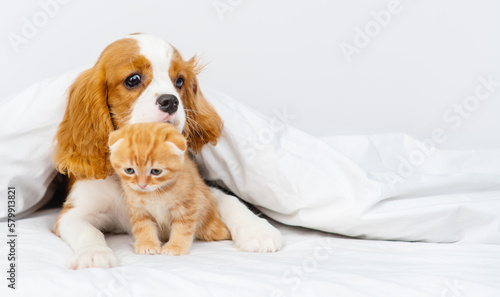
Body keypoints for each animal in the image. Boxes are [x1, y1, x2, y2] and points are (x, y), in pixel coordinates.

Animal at [108, 122, 231, 254]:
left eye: (156, 171)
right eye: (129, 170)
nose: (142, 185)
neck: (155, 193)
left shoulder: (187, 206)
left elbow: (183, 228)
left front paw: (175, 247)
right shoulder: (138, 209)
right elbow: (143, 226)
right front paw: (147, 244)